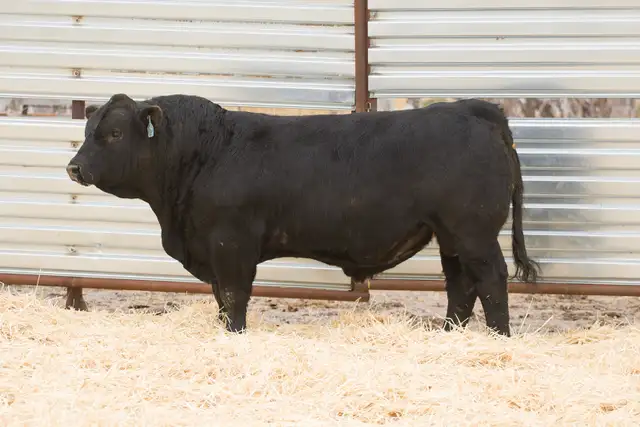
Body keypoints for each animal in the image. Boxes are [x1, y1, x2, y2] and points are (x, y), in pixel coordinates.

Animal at [66, 93, 540, 337]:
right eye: (88, 131)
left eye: (113, 133)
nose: (74, 167)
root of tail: (473, 108)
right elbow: (220, 297)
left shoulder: (231, 243)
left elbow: (234, 296)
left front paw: (234, 335)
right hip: (450, 235)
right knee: (460, 285)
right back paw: (448, 336)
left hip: (473, 232)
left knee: (491, 280)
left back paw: (499, 337)